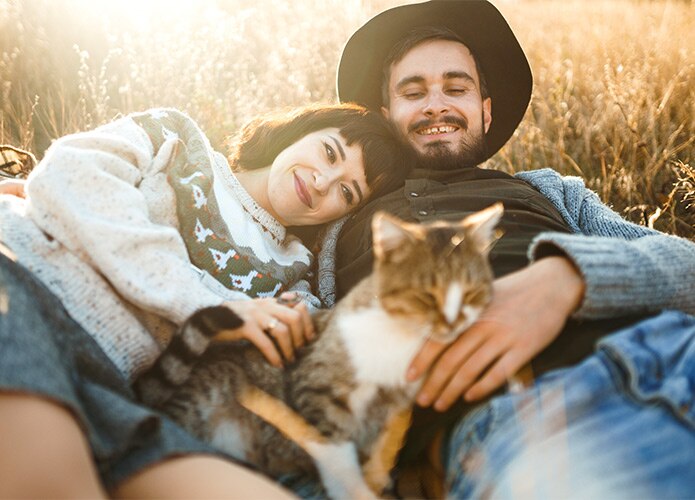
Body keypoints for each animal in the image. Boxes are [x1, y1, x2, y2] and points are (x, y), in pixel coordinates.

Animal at [136, 201, 502, 498]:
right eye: (426, 296)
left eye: (472, 293)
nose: (453, 323)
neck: (402, 343)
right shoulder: (320, 395)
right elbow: (336, 456)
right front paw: (355, 491)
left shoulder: (392, 411)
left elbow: (378, 451)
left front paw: (376, 481)